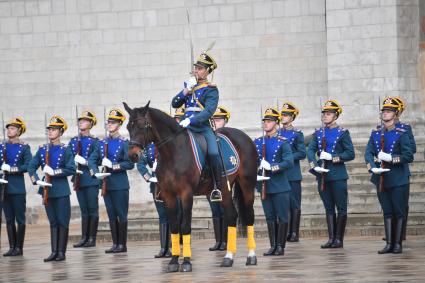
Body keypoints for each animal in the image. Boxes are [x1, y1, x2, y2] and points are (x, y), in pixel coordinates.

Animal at [122, 102, 258, 272]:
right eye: (128, 126)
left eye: (143, 126)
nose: (132, 155)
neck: (172, 152)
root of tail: (244, 136)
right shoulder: (168, 196)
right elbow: (174, 226)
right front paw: (173, 261)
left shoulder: (186, 194)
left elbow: (185, 226)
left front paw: (186, 262)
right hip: (225, 189)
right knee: (232, 216)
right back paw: (228, 258)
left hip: (247, 184)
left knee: (249, 215)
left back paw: (251, 256)